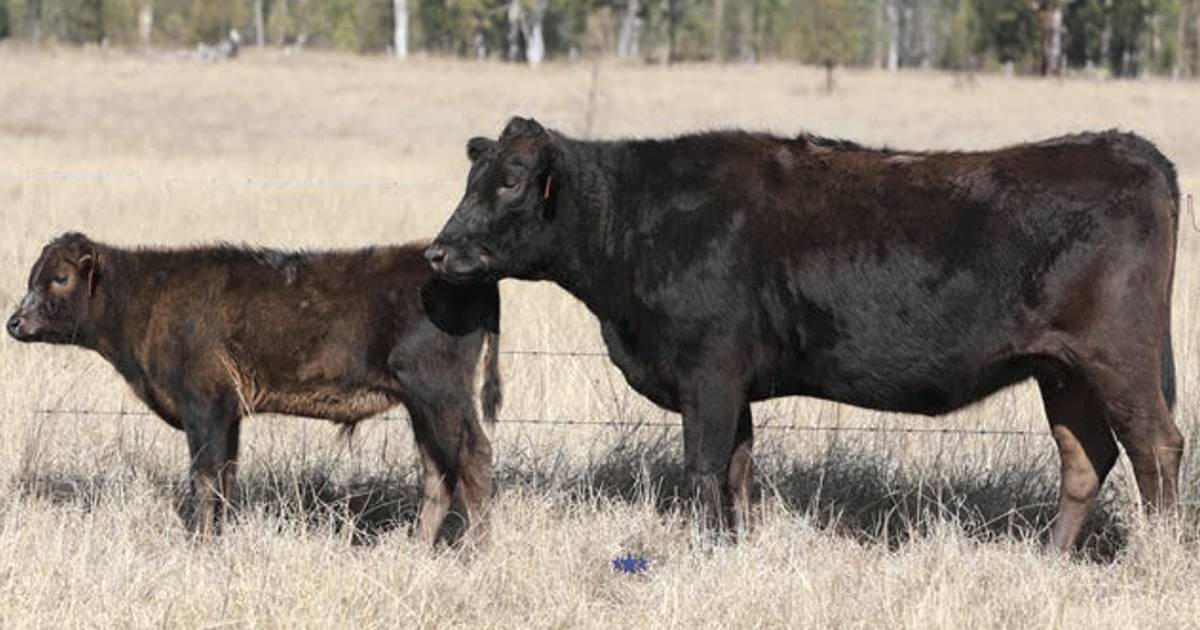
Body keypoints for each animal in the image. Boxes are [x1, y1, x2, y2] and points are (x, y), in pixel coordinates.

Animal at [427, 117, 1185, 549]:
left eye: (512, 180)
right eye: (471, 175)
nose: (437, 252)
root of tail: (1125, 147)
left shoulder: (708, 369)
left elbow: (704, 468)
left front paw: (700, 552)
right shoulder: (733, 382)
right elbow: (738, 471)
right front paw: (736, 549)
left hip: (1118, 357)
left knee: (1156, 447)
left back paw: (1157, 558)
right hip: (1063, 370)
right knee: (1086, 459)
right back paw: (1049, 557)